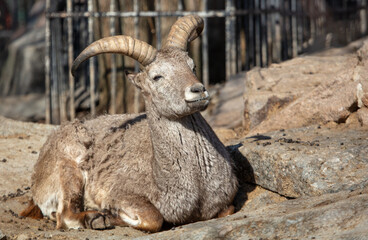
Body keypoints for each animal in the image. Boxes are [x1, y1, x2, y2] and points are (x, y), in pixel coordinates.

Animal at [20, 15, 239, 232]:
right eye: (157, 76)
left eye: (192, 66)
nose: (198, 90)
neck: (197, 183)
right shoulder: (123, 193)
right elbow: (153, 219)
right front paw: (107, 214)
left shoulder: (225, 203)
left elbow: (229, 210)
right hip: (68, 171)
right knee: (65, 216)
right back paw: (94, 217)